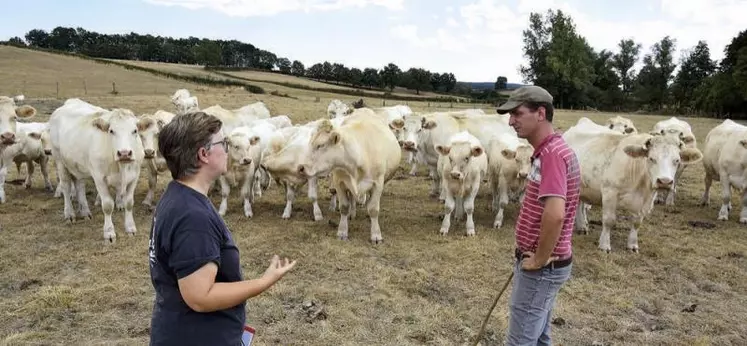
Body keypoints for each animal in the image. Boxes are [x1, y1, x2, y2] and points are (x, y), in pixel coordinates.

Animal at [48, 98, 149, 242]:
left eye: (135, 131)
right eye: (111, 131)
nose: (124, 153)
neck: (120, 167)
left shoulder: (134, 176)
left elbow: (129, 203)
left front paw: (130, 228)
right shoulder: (99, 177)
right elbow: (107, 205)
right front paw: (109, 233)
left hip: (77, 165)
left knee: (80, 186)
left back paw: (85, 212)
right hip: (59, 160)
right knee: (66, 186)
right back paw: (69, 214)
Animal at [298, 111, 404, 243]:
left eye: (320, 145)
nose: (301, 168)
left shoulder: (378, 183)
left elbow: (373, 209)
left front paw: (376, 235)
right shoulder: (339, 182)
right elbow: (344, 207)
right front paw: (342, 231)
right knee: (352, 198)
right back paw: (351, 214)